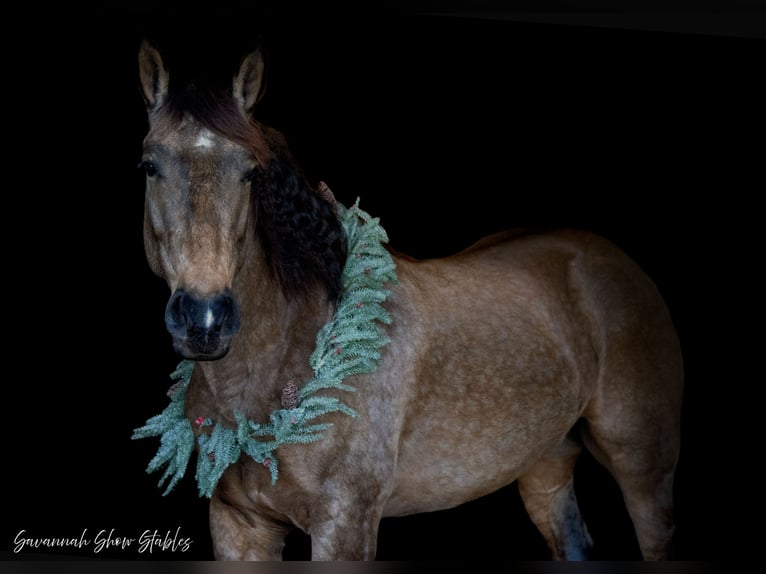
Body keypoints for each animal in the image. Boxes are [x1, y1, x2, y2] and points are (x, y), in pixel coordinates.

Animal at [132, 41, 684, 564]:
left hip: (643, 467)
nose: (204, 319)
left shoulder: (345, 524)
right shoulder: (238, 525)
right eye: (149, 165)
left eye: (250, 171)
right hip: (545, 463)